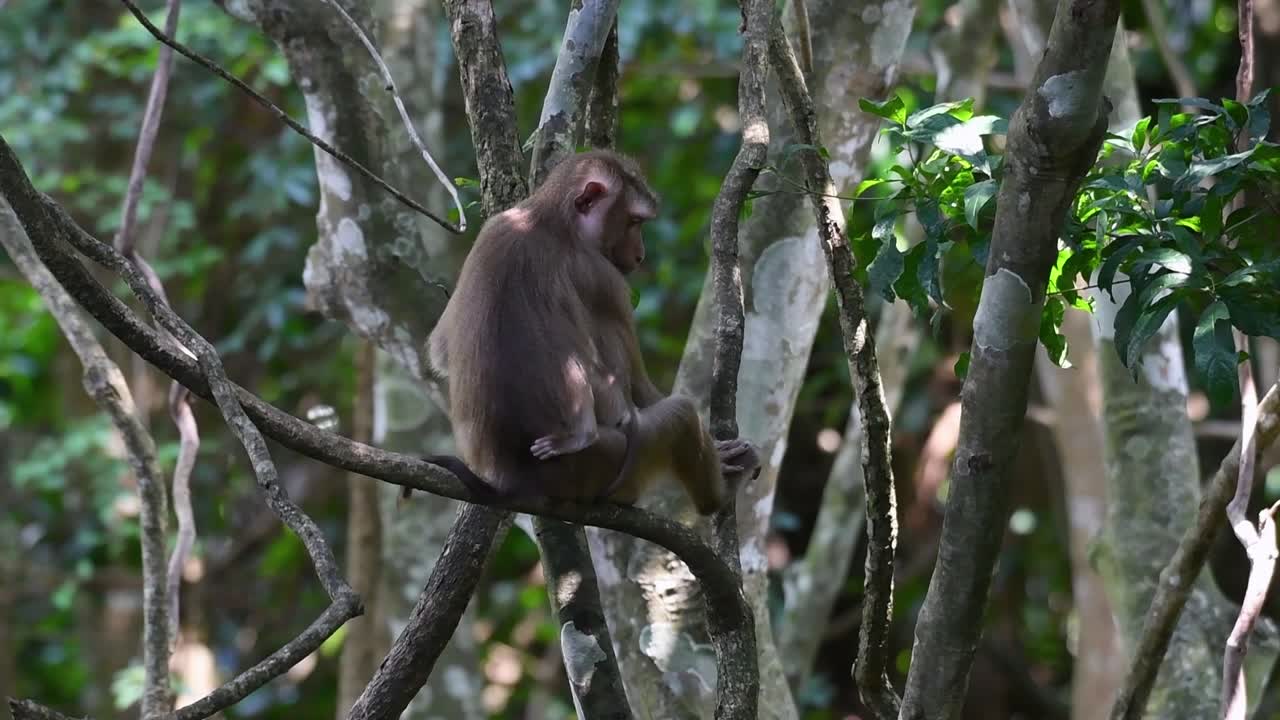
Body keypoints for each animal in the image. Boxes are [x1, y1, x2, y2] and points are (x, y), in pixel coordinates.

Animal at [425, 150, 759, 515]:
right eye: (635, 221)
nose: (640, 255)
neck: (549, 221)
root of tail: (518, 478)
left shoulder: (494, 227)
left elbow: (439, 351)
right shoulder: (605, 278)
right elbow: (633, 388)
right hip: (613, 468)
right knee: (678, 415)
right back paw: (718, 495)